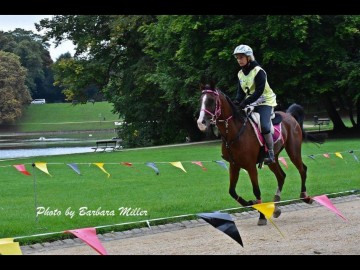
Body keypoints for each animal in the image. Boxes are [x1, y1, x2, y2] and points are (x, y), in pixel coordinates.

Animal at [197, 83, 324, 225]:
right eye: (200, 100)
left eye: (211, 101)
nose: (201, 123)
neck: (234, 132)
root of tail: (289, 115)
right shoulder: (234, 166)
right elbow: (232, 191)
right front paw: (250, 202)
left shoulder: (251, 166)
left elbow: (256, 190)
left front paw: (261, 216)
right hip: (273, 159)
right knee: (281, 176)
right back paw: (276, 207)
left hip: (293, 151)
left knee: (302, 169)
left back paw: (305, 196)